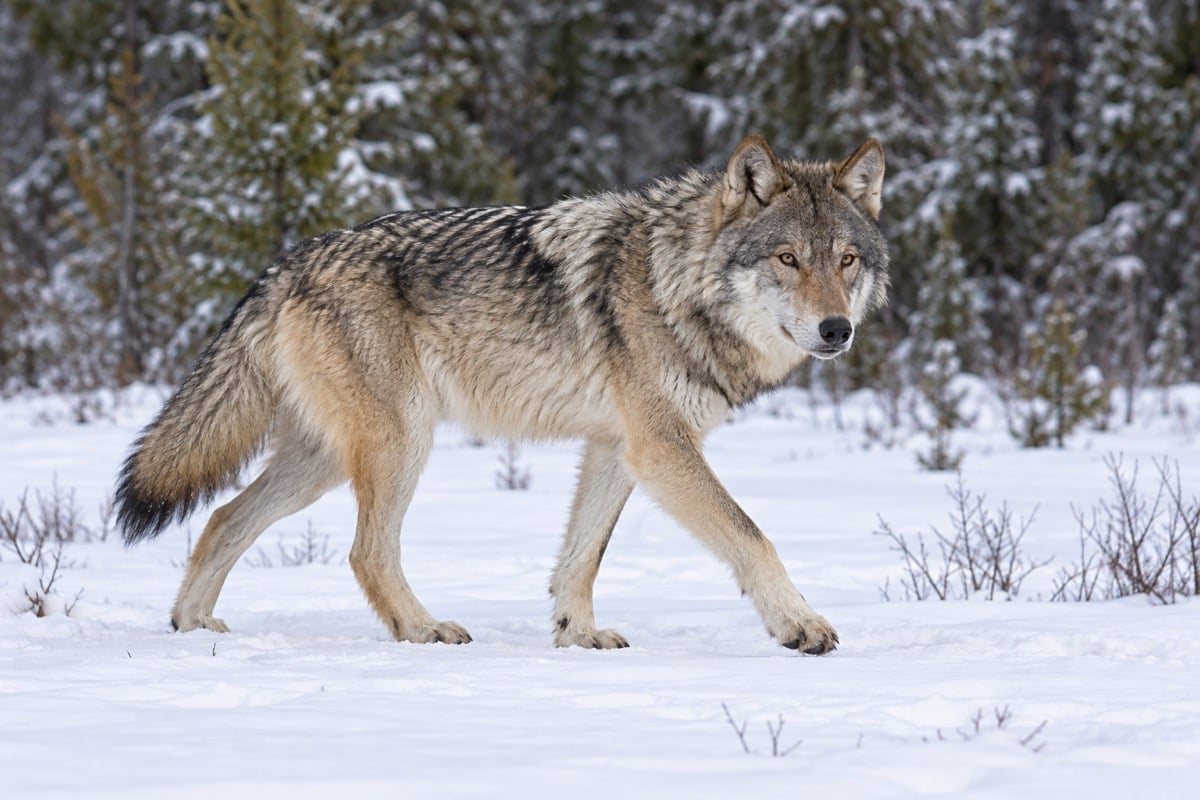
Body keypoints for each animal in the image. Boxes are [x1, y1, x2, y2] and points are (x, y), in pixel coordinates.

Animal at [115, 134, 888, 655]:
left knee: (223, 519)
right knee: (366, 552)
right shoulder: (662, 449)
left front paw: (577, 635)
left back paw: (192, 626)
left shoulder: (616, 448)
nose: (837, 330)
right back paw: (421, 628)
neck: (676, 285)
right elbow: (753, 537)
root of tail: (288, 261)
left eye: (846, 260)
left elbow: (581, 558)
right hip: (400, 443)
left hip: (323, 462)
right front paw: (800, 624)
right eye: (787, 258)